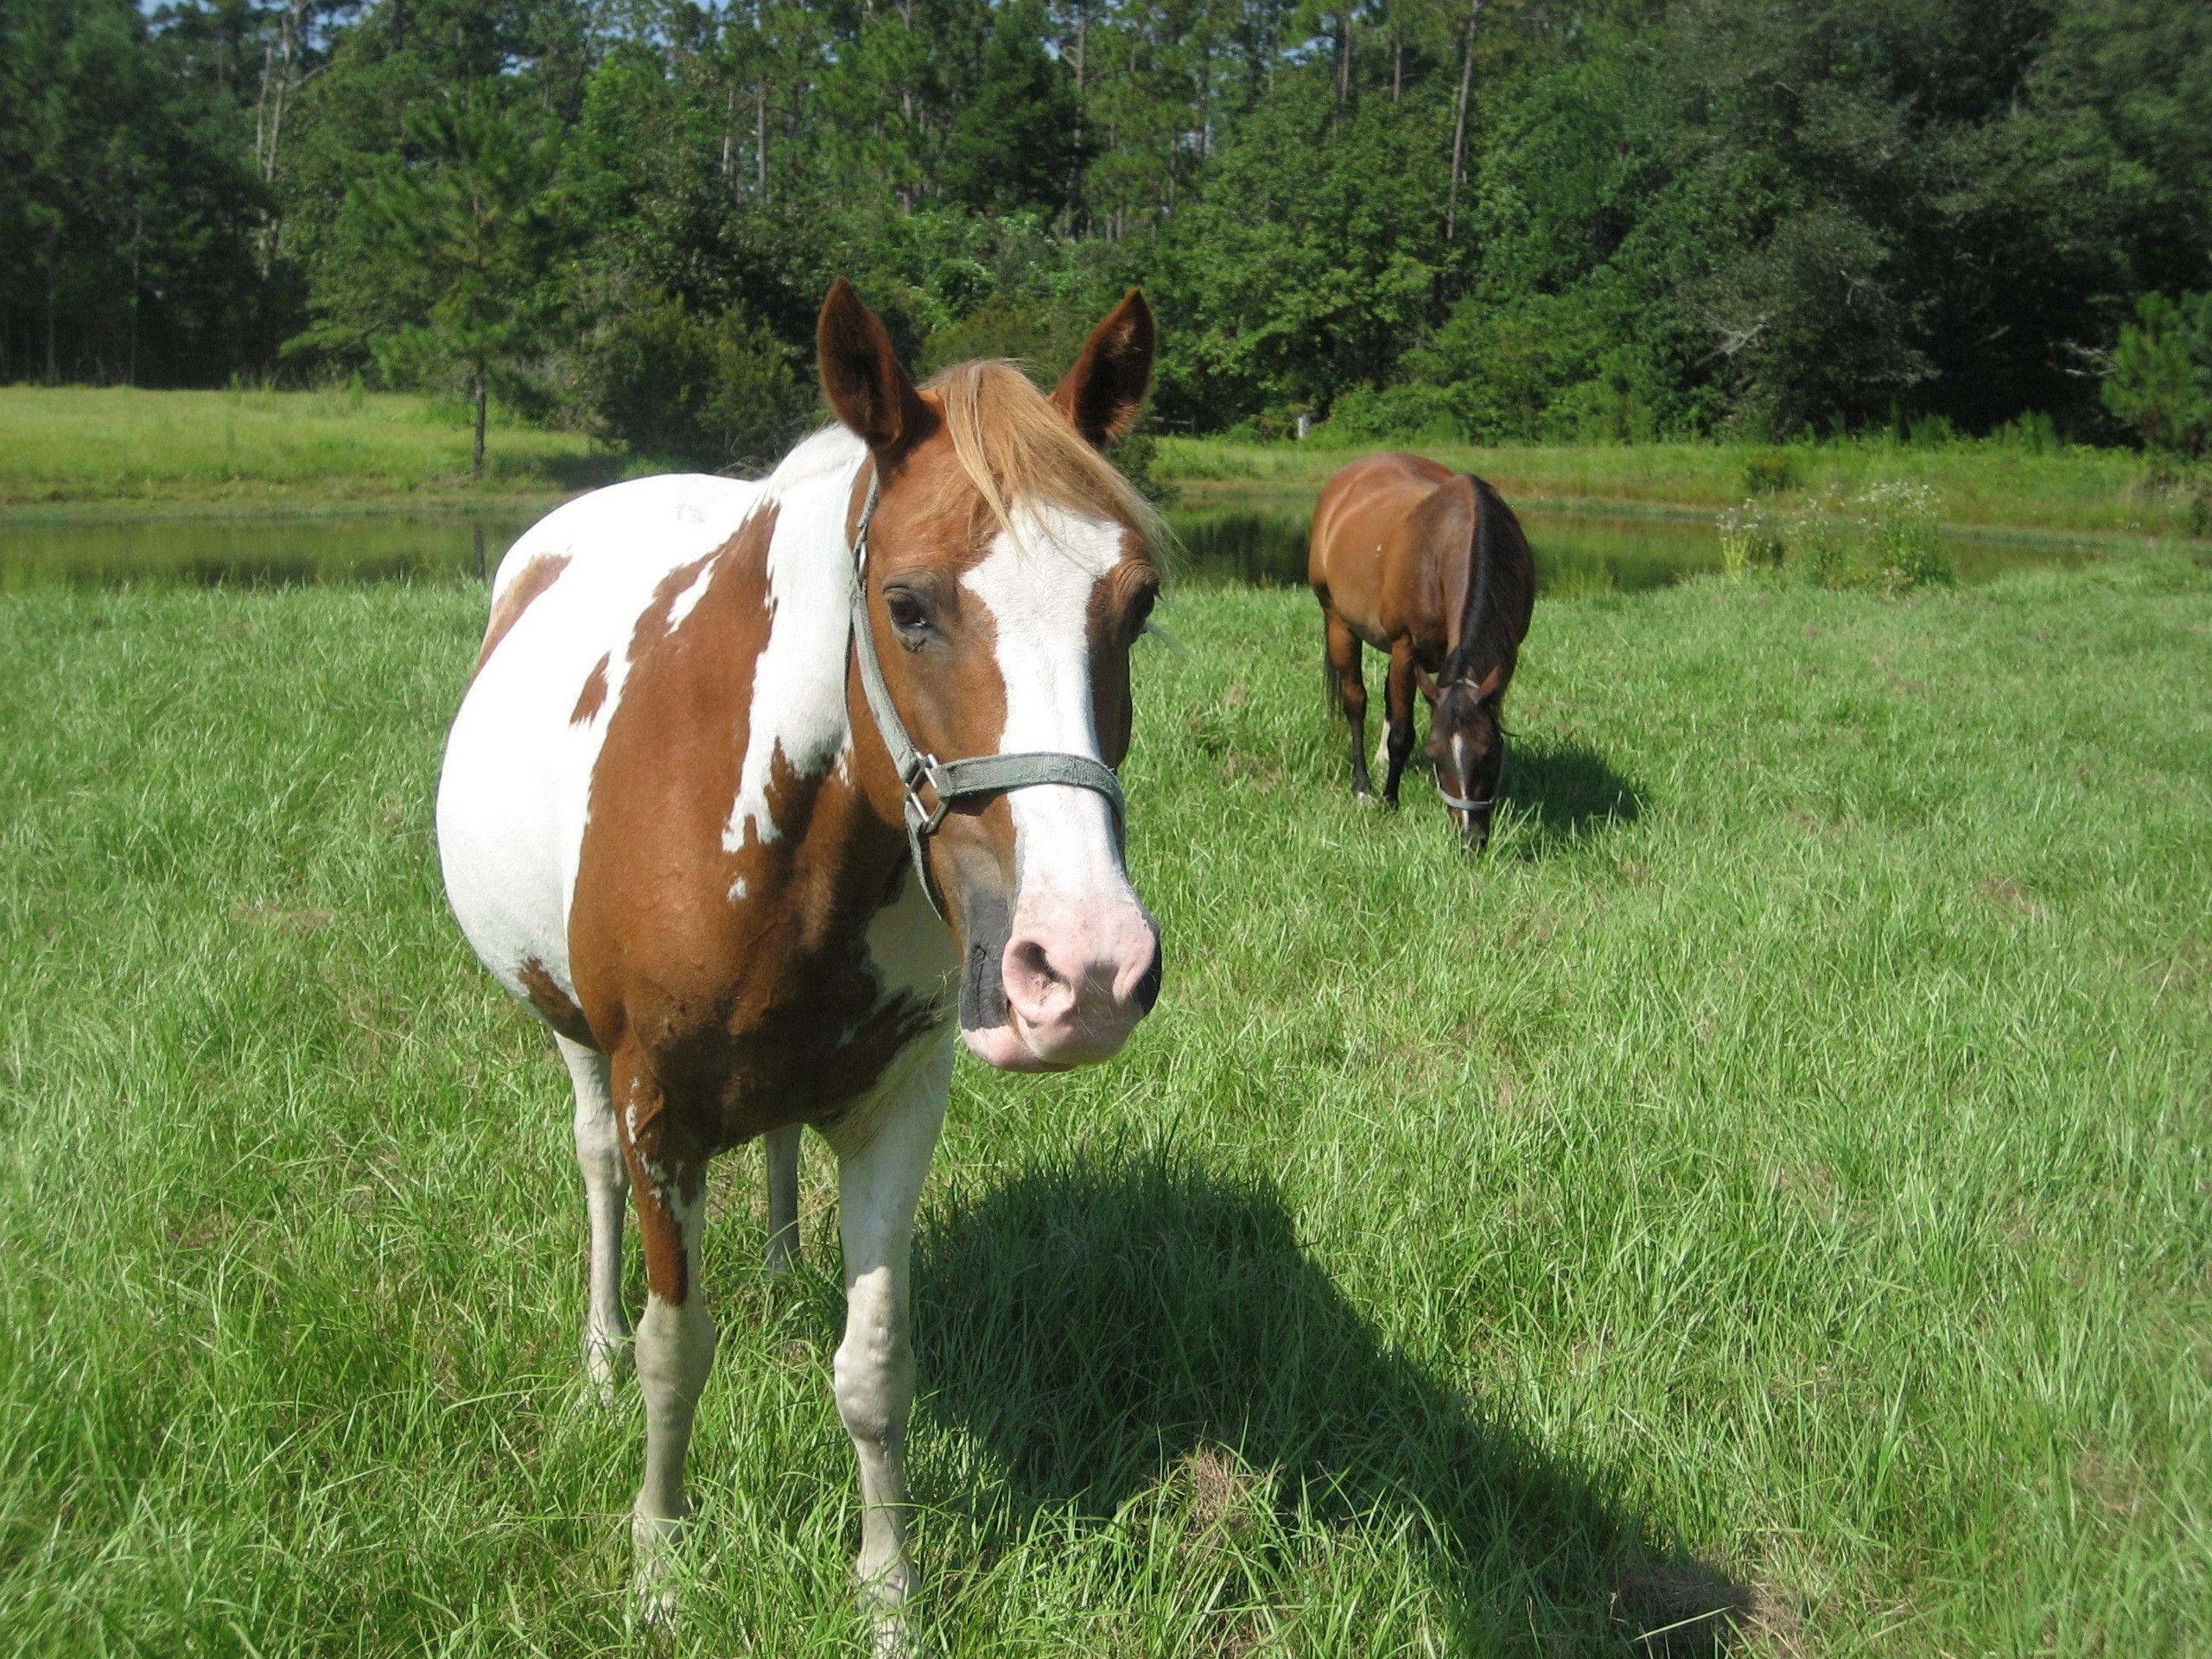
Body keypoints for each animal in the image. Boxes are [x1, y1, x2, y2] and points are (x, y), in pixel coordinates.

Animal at [436, 280, 1165, 1648]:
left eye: (1135, 604)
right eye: (909, 605)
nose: (1086, 970)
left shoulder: (897, 1106)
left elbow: (873, 1370)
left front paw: (889, 1597)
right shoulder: (658, 1107)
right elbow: (677, 1354)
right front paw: (660, 1566)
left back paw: (780, 1269)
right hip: (572, 1041)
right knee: (592, 1172)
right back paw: (595, 1356)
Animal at [1307, 451, 1535, 846]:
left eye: (1489, 751)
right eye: (1434, 751)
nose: (1471, 837)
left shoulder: (1504, 657)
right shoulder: (1405, 649)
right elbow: (1402, 733)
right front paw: (1389, 799)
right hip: (1338, 622)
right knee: (1356, 701)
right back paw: (1363, 786)